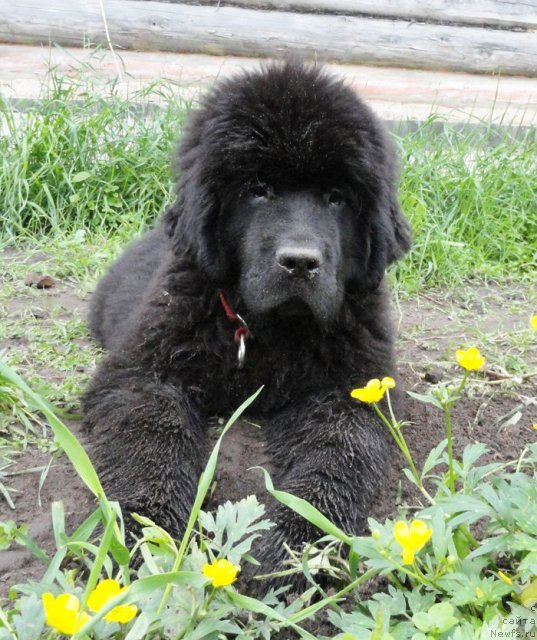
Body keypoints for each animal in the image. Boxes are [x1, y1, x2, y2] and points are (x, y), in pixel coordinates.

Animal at [84, 62, 410, 588]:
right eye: (258, 190)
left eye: (337, 197)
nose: (300, 263)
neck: (269, 331)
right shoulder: (141, 370)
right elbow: (150, 433)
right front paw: (146, 530)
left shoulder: (355, 386)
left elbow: (341, 450)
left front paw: (299, 545)